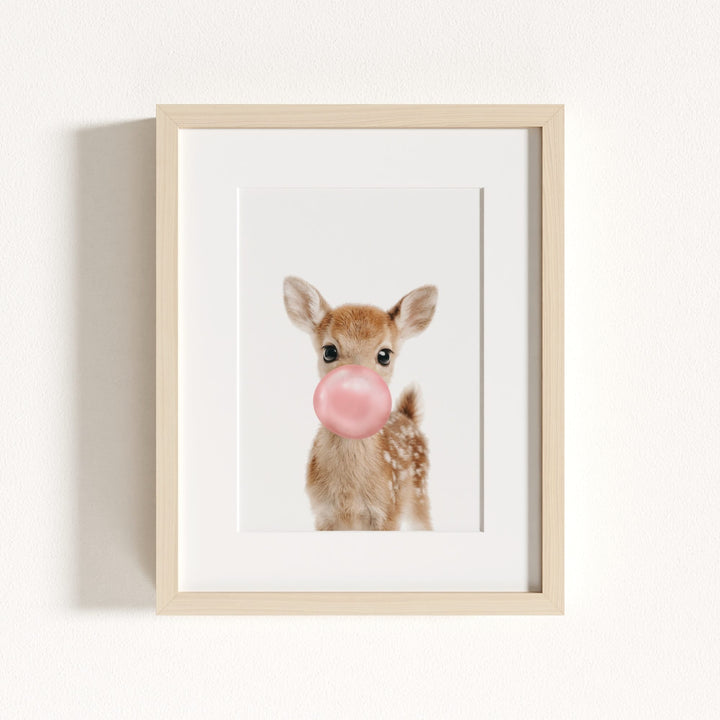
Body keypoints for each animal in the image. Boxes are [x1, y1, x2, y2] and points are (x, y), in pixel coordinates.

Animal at [283, 276, 438, 531]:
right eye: (329, 351)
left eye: (384, 355)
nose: (355, 389)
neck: (349, 495)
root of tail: (408, 416)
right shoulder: (323, 514)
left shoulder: (388, 512)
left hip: (419, 493)